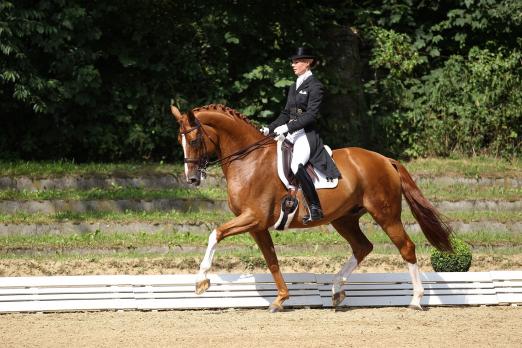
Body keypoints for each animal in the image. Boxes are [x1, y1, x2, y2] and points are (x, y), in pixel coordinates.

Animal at [172, 104, 450, 312]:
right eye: (179, 140)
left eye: (194, 139)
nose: (192, 179)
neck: (248, 160)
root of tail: (385, 159)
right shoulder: (257, 226)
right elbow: (271, 260)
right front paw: (280, 299)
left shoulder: (253, 218)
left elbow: (215, 234)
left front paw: (201, 280)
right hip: (344, 219)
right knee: (363, 247)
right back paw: (337, 290)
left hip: (386, 214)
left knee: (406, 247)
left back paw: (416, 300)